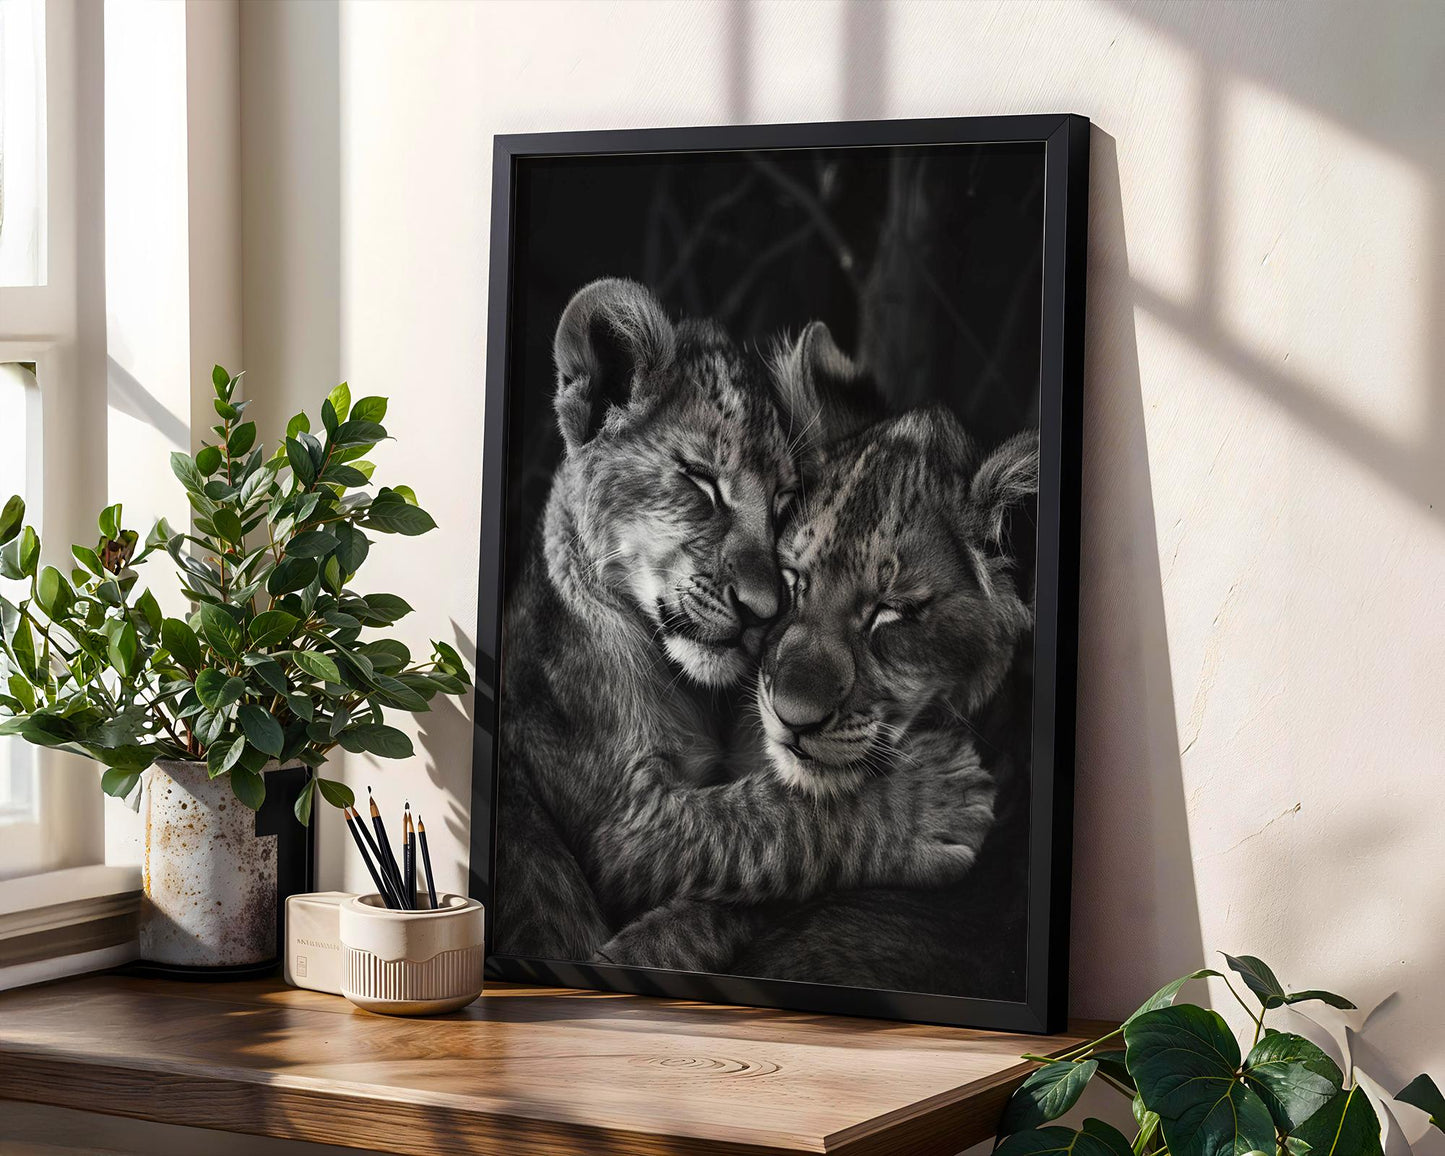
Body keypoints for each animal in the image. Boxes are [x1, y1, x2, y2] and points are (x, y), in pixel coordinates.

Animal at [495, 282, 993, 963]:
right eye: (701, 482)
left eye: (784, 502)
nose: (762, 608)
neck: (693, 694)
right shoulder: (620, 827)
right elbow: (753, 817)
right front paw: (930, 800)